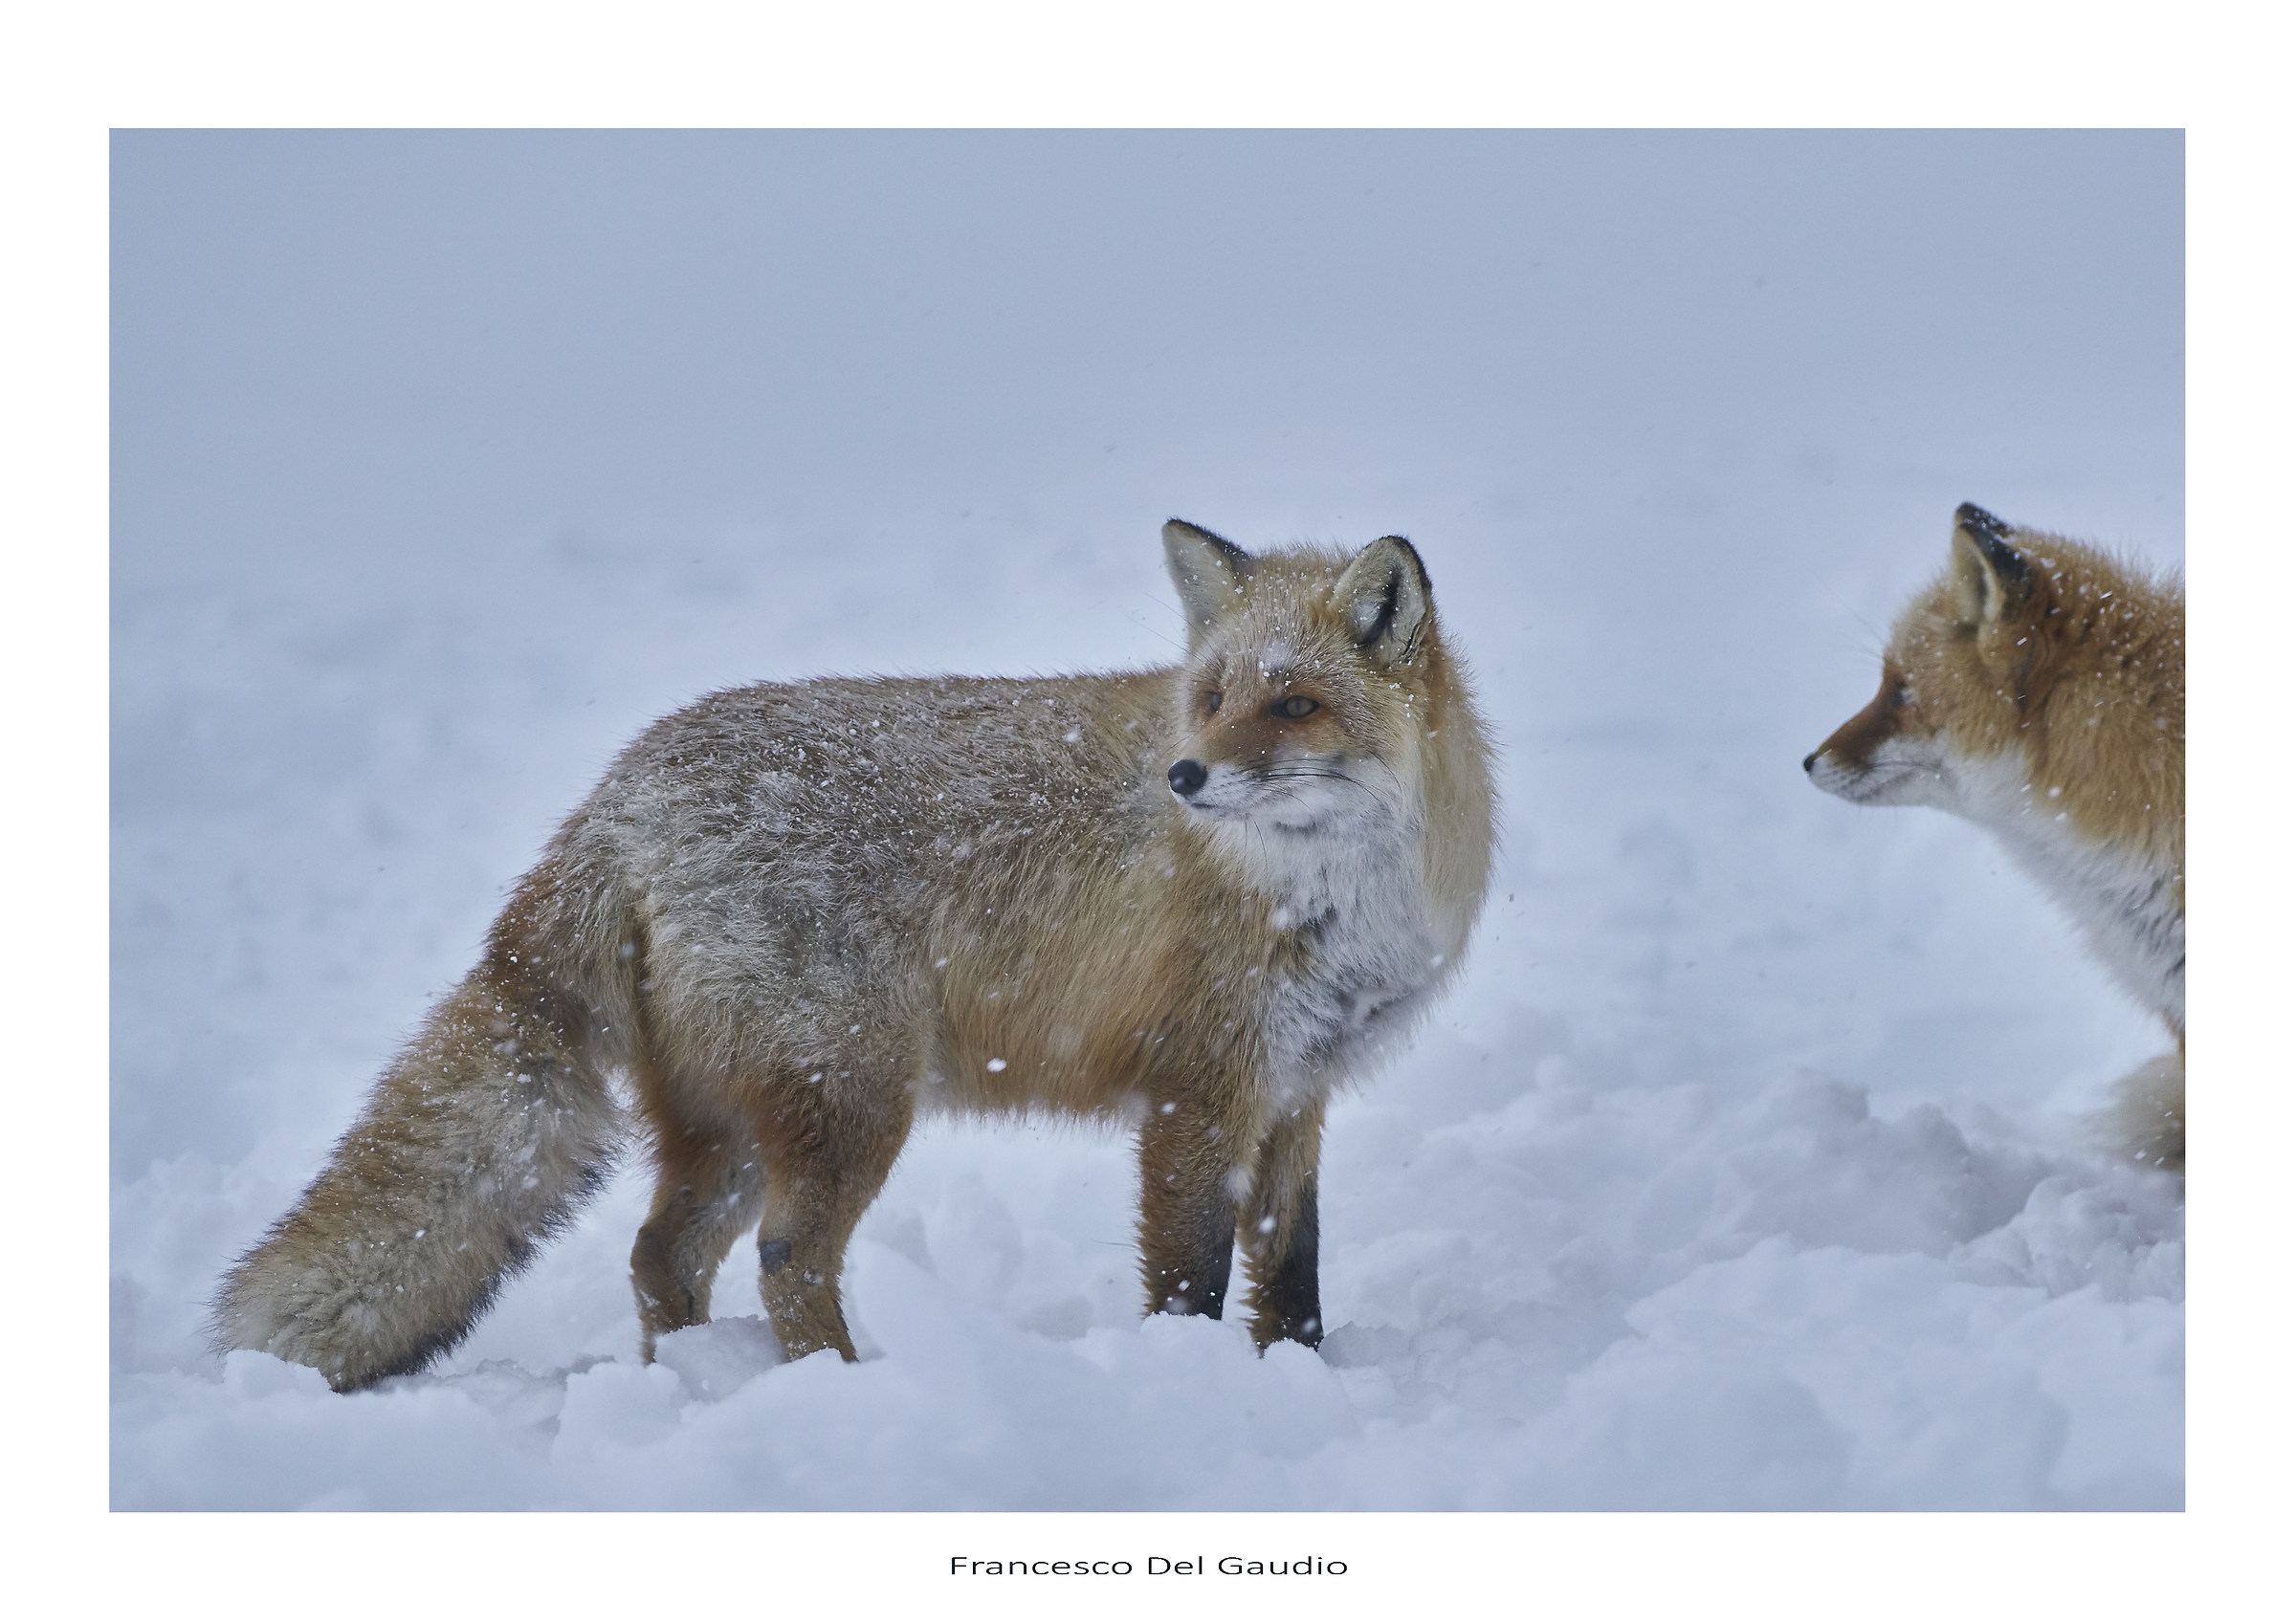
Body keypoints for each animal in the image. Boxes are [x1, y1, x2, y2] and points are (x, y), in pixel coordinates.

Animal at [213, 520, 1497, 1390]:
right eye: (1215, 693)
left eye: (1294, 704)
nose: (1184, 776)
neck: (1330, 895)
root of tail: (621, 791)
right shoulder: (1200, 1093)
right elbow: (1193, 1281)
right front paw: (1189, 1393)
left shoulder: (1296, 1091)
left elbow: (1294, 1274)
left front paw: (1304, 1386)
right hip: (850, 1097)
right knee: (786, 1257)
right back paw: (843, 1388)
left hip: (733, 1120)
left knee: (659, 1254)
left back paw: (700, 1387)